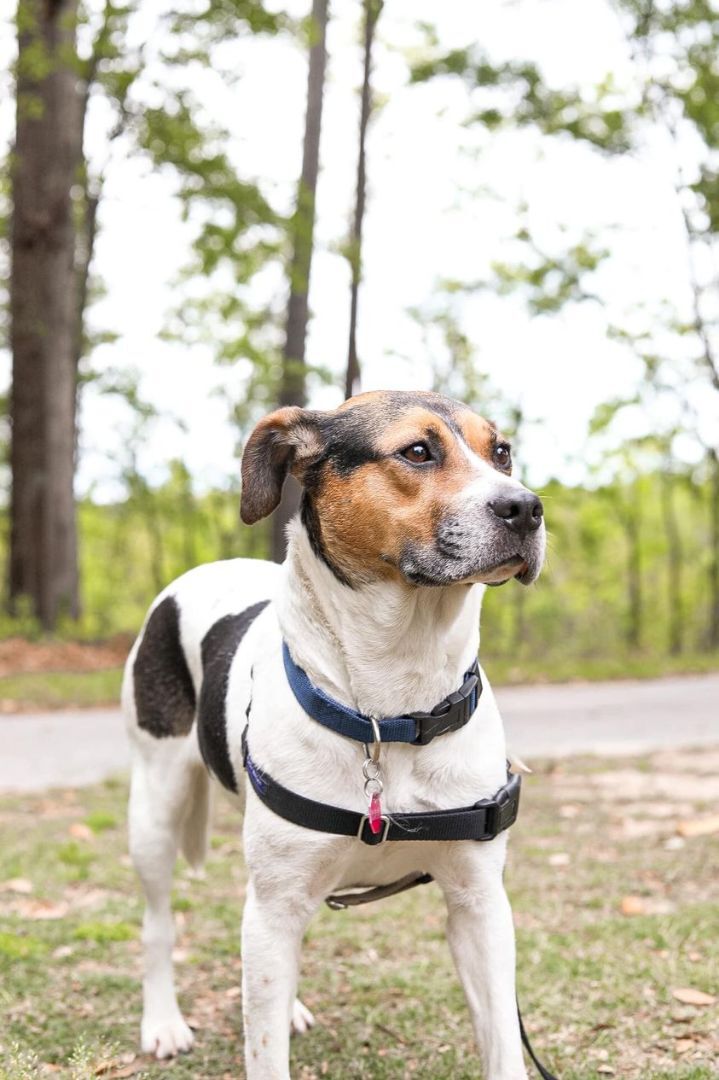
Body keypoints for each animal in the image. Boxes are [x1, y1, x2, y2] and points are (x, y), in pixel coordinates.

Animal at [124, 388, 544, 1080]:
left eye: (502, 452)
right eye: (418, 451)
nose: (527, 508)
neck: (394, 709)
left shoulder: (480, 903)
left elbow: (504, 1045)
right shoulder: (273, 908)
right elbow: (265, 1052)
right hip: (155, 810)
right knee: (158, 922)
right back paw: (162, 1023)